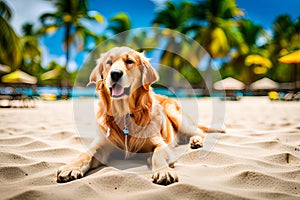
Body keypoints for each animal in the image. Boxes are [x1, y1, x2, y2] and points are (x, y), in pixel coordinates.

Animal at [56, 46, 225, 185]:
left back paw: (196, 141)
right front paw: (70, 167)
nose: (115, 74)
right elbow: (85, 154)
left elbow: (157, 155)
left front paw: (163, 171)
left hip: (177, 117)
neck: (124, 114)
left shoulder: (159, 143)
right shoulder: (101, 144)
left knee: (200, 132)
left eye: (129, 61)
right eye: (109, 62)